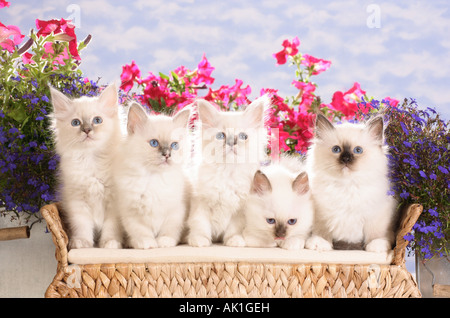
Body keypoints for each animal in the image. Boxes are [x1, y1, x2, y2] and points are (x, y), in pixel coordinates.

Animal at [49, 83, 121, 247]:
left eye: (97, 120)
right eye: (76, 123)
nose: (87, 130)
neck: (91, 159)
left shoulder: (115, 203)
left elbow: (111, 226)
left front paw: (110, 243)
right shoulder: (77, 201)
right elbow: (82, 225)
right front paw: (81, 242)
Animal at [101, 103, 191, 250]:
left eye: (174, 145)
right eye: (154, 143)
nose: (167, 155)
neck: (155, 178)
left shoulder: (176, 211)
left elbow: (169, 230)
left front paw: (164, 243)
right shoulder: (131, 211)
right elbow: (141, 231)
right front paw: (148, 244)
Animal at [185, 95, 268, 247]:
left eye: (243, 136)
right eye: (220, 136)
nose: (231, 142)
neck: (227, 172)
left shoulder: (239, 210)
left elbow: (234, 229)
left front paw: (234, 240)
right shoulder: (200, 203)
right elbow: (200, 224)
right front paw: (199, 240)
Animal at [304, 113, 396, 252]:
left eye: (358, 150)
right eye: (336, 149)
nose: (346, 159)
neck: (347, 185)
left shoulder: (376, 214)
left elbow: (375, 232)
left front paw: (376, 245)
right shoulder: (322, 213)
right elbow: (322, 230)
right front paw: (320, 243)